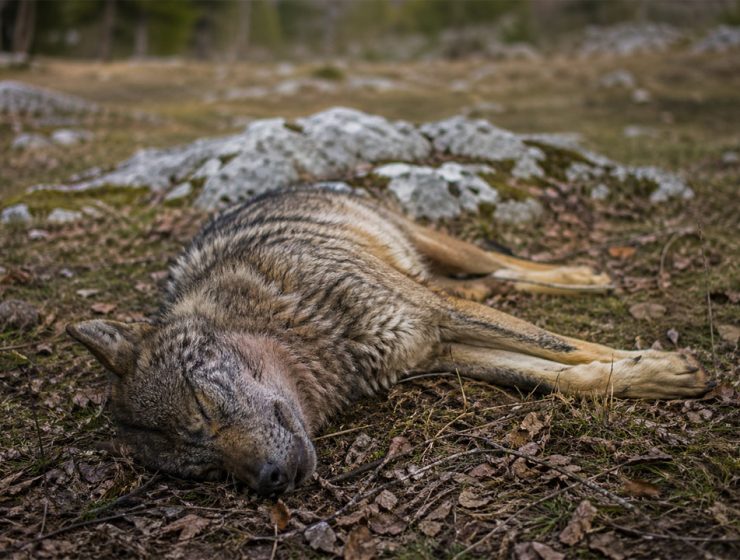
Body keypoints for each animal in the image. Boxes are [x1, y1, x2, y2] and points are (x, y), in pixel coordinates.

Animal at [68, 188, 711, 496]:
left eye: (203, 408)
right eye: (202, 469)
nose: (269, 482)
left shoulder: (433, 314)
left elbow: (570, 347)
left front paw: (660, 367)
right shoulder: (438, 350)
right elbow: (561, 376)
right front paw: (643, 375)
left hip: (435, 254)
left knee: (501, 263)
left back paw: (582, 275)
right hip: (441, 283)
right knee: (496, 277)